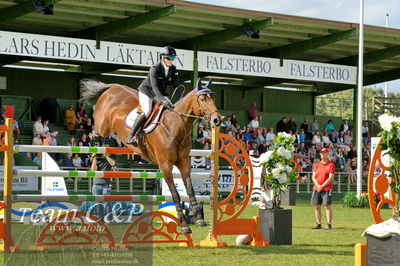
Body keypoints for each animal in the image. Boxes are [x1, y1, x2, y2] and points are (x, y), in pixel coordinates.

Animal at [79, 78, 220, 233]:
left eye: (214, 98)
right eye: (202, 99)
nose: (217, 120)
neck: (175, 127)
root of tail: (112, 87)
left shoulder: (183, 163)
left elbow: (190, 190)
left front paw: (199, 218)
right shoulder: (165, 166)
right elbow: (175, 194)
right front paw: (184, 224)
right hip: (104, 126)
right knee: (98, 131)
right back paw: (97, 140)